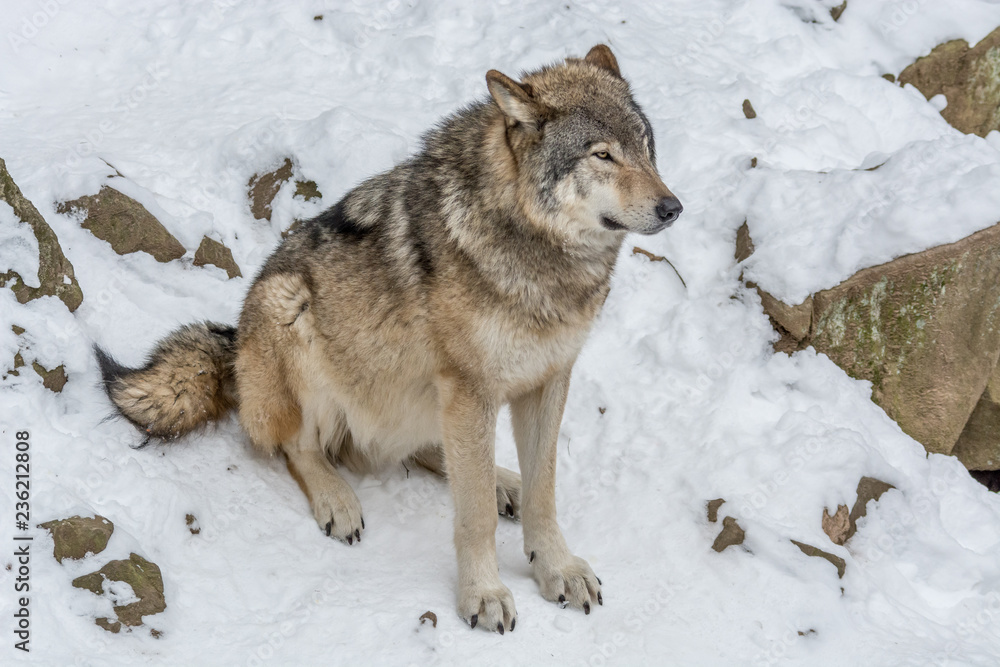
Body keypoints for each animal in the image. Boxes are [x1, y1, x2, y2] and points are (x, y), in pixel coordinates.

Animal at [95, 44, 680, 636]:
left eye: (646, 147)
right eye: (602, 155)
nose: (672, 207)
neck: (540, 260)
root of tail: (234, 346)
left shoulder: (548, 380)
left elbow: (544, 493)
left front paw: (557, 568)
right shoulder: (471, 389)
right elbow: (474, 517)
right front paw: (484, 595)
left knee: (436, 453)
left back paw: (501, 481)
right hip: (293, 311)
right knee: (298, 448)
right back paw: (338, 501)